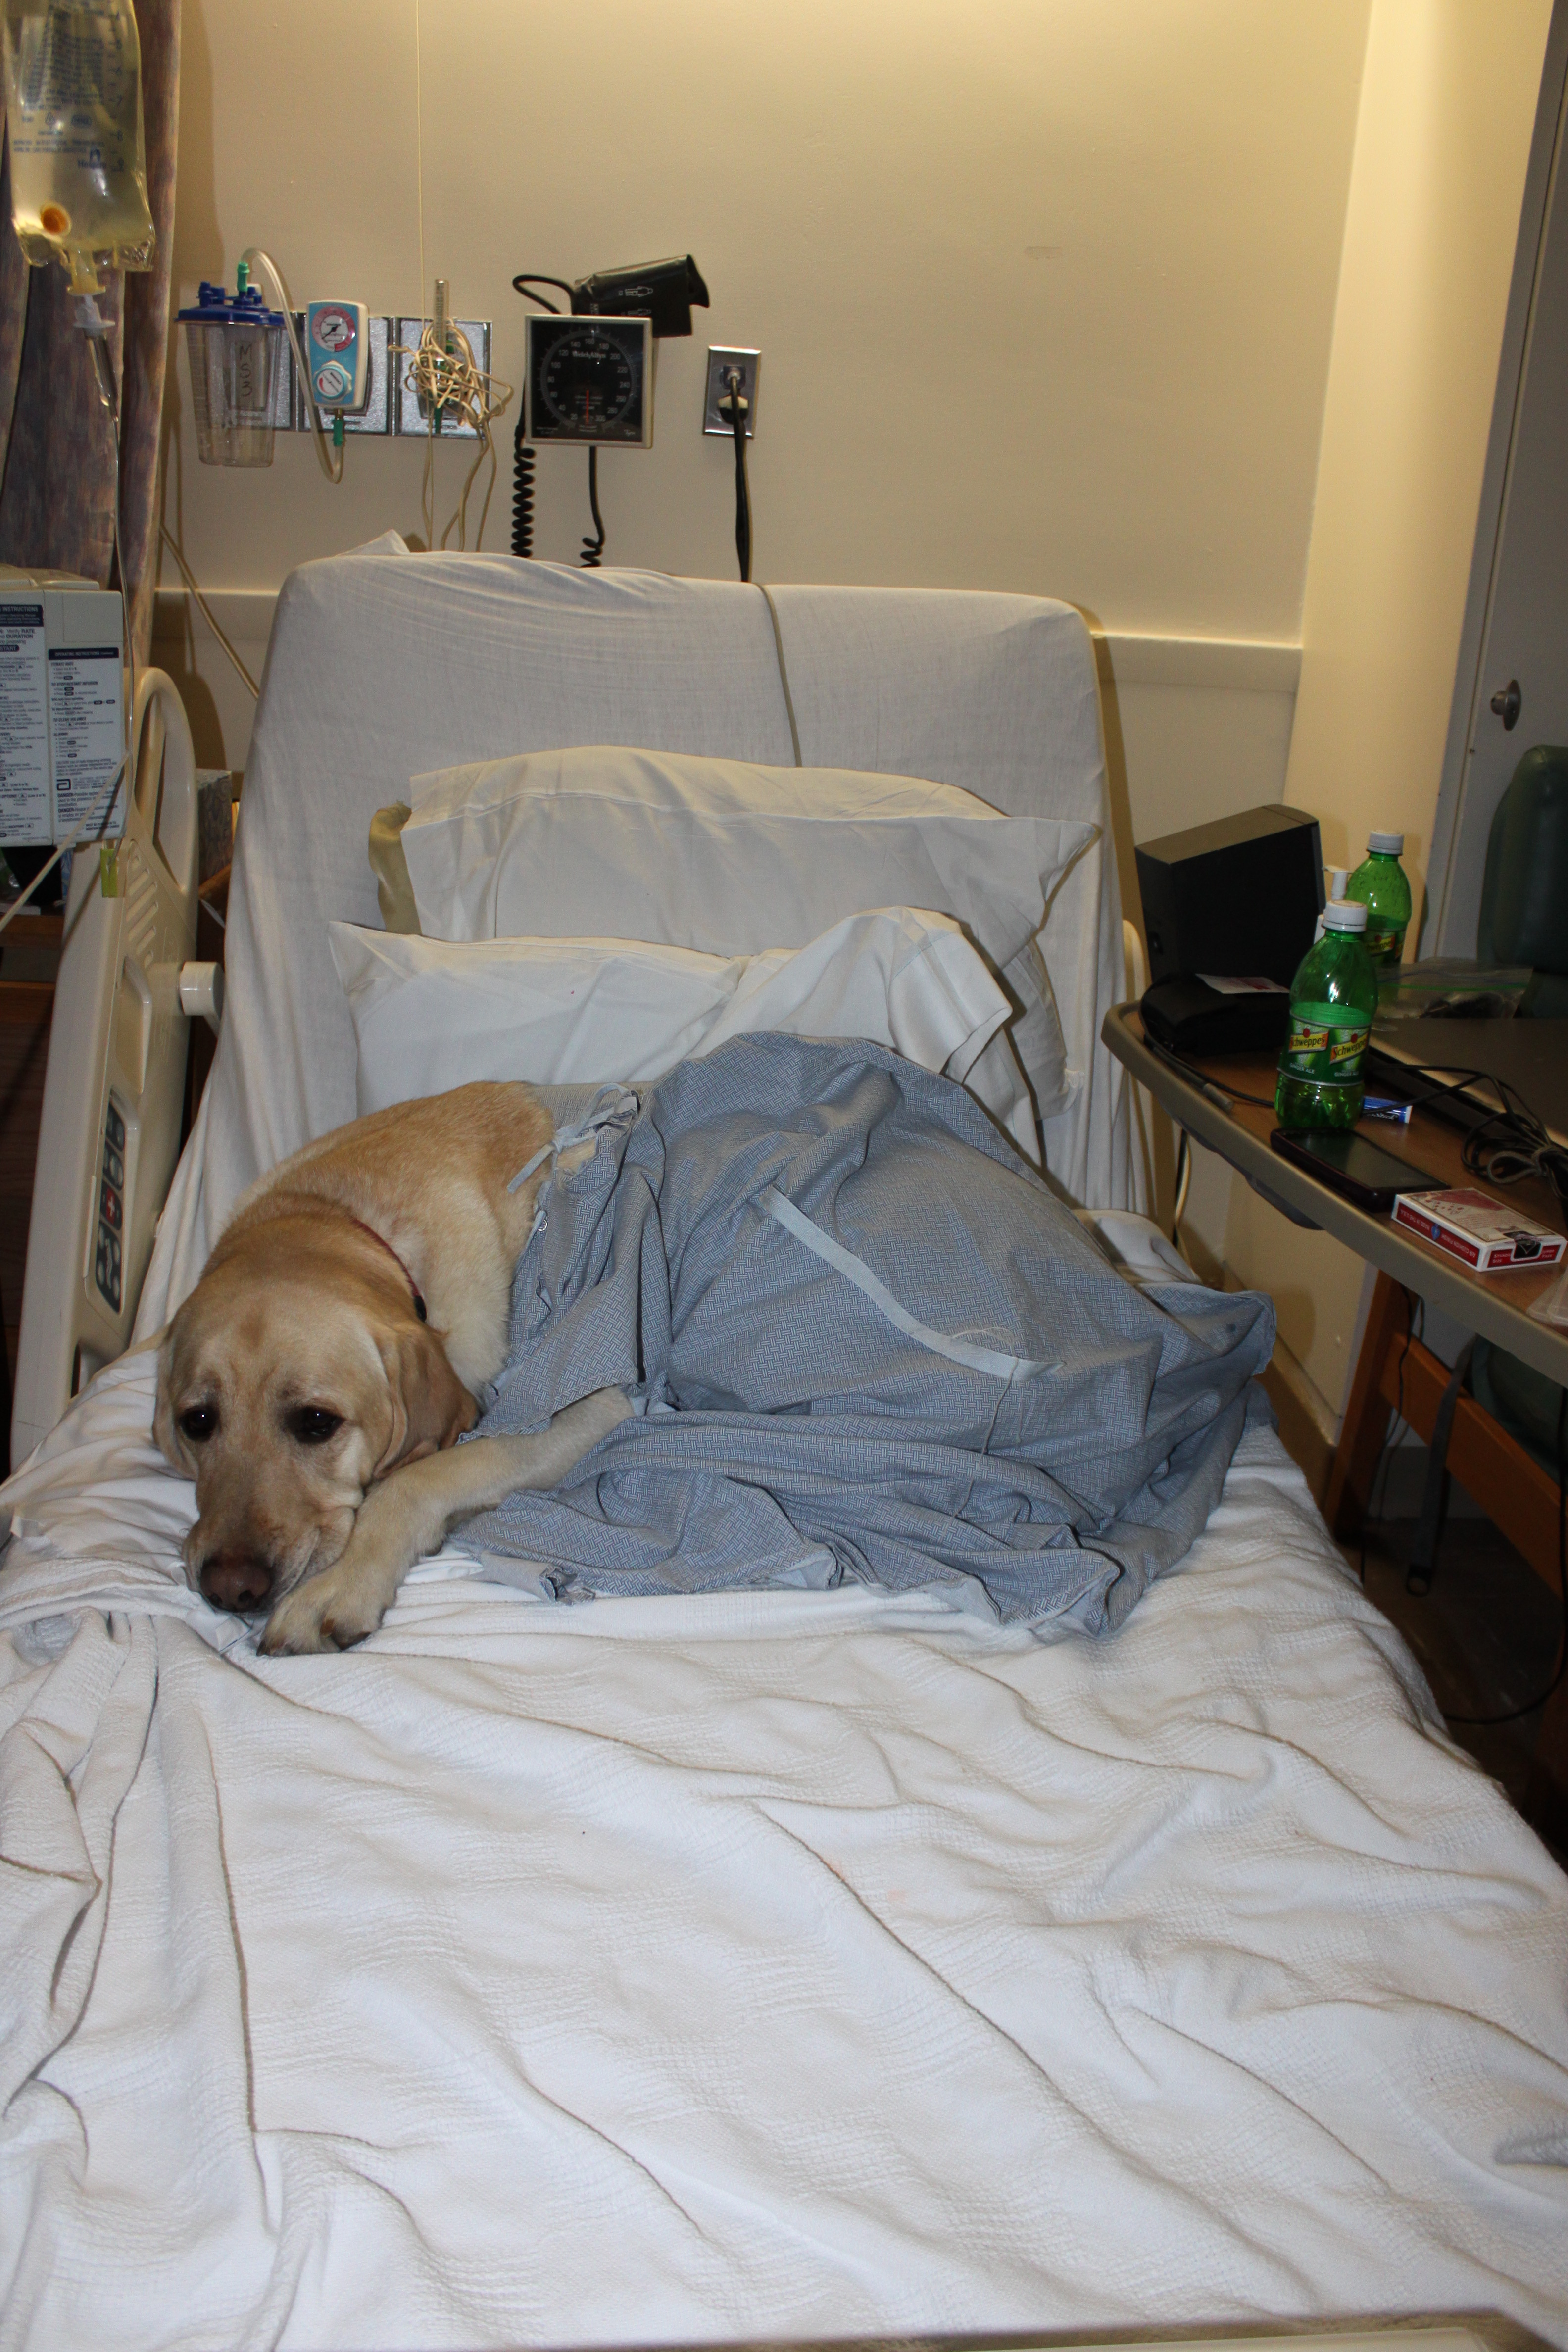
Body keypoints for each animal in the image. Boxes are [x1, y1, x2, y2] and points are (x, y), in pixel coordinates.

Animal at [154, 1081, 630, 1655]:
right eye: (197, 1421)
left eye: (317, 1422)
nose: (230, 1589)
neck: (341, 1216)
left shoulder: (594, 1405)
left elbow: (417, 1479)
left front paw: (337, 1587)